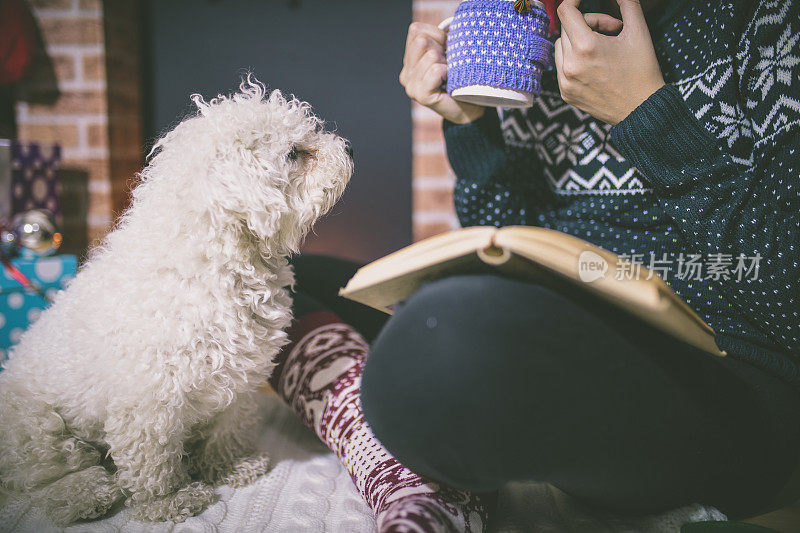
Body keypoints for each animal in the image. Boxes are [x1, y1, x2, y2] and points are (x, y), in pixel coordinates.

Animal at [0, 78, 354, 524]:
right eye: (294, 153)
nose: (349, 150)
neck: (219, 261)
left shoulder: (238, 377)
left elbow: (229, 427)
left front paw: (230, 466)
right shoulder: (148, 398)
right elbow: (152, 458)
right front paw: (167, 500)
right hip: (40, 428)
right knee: (39, 480)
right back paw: (85, 492)